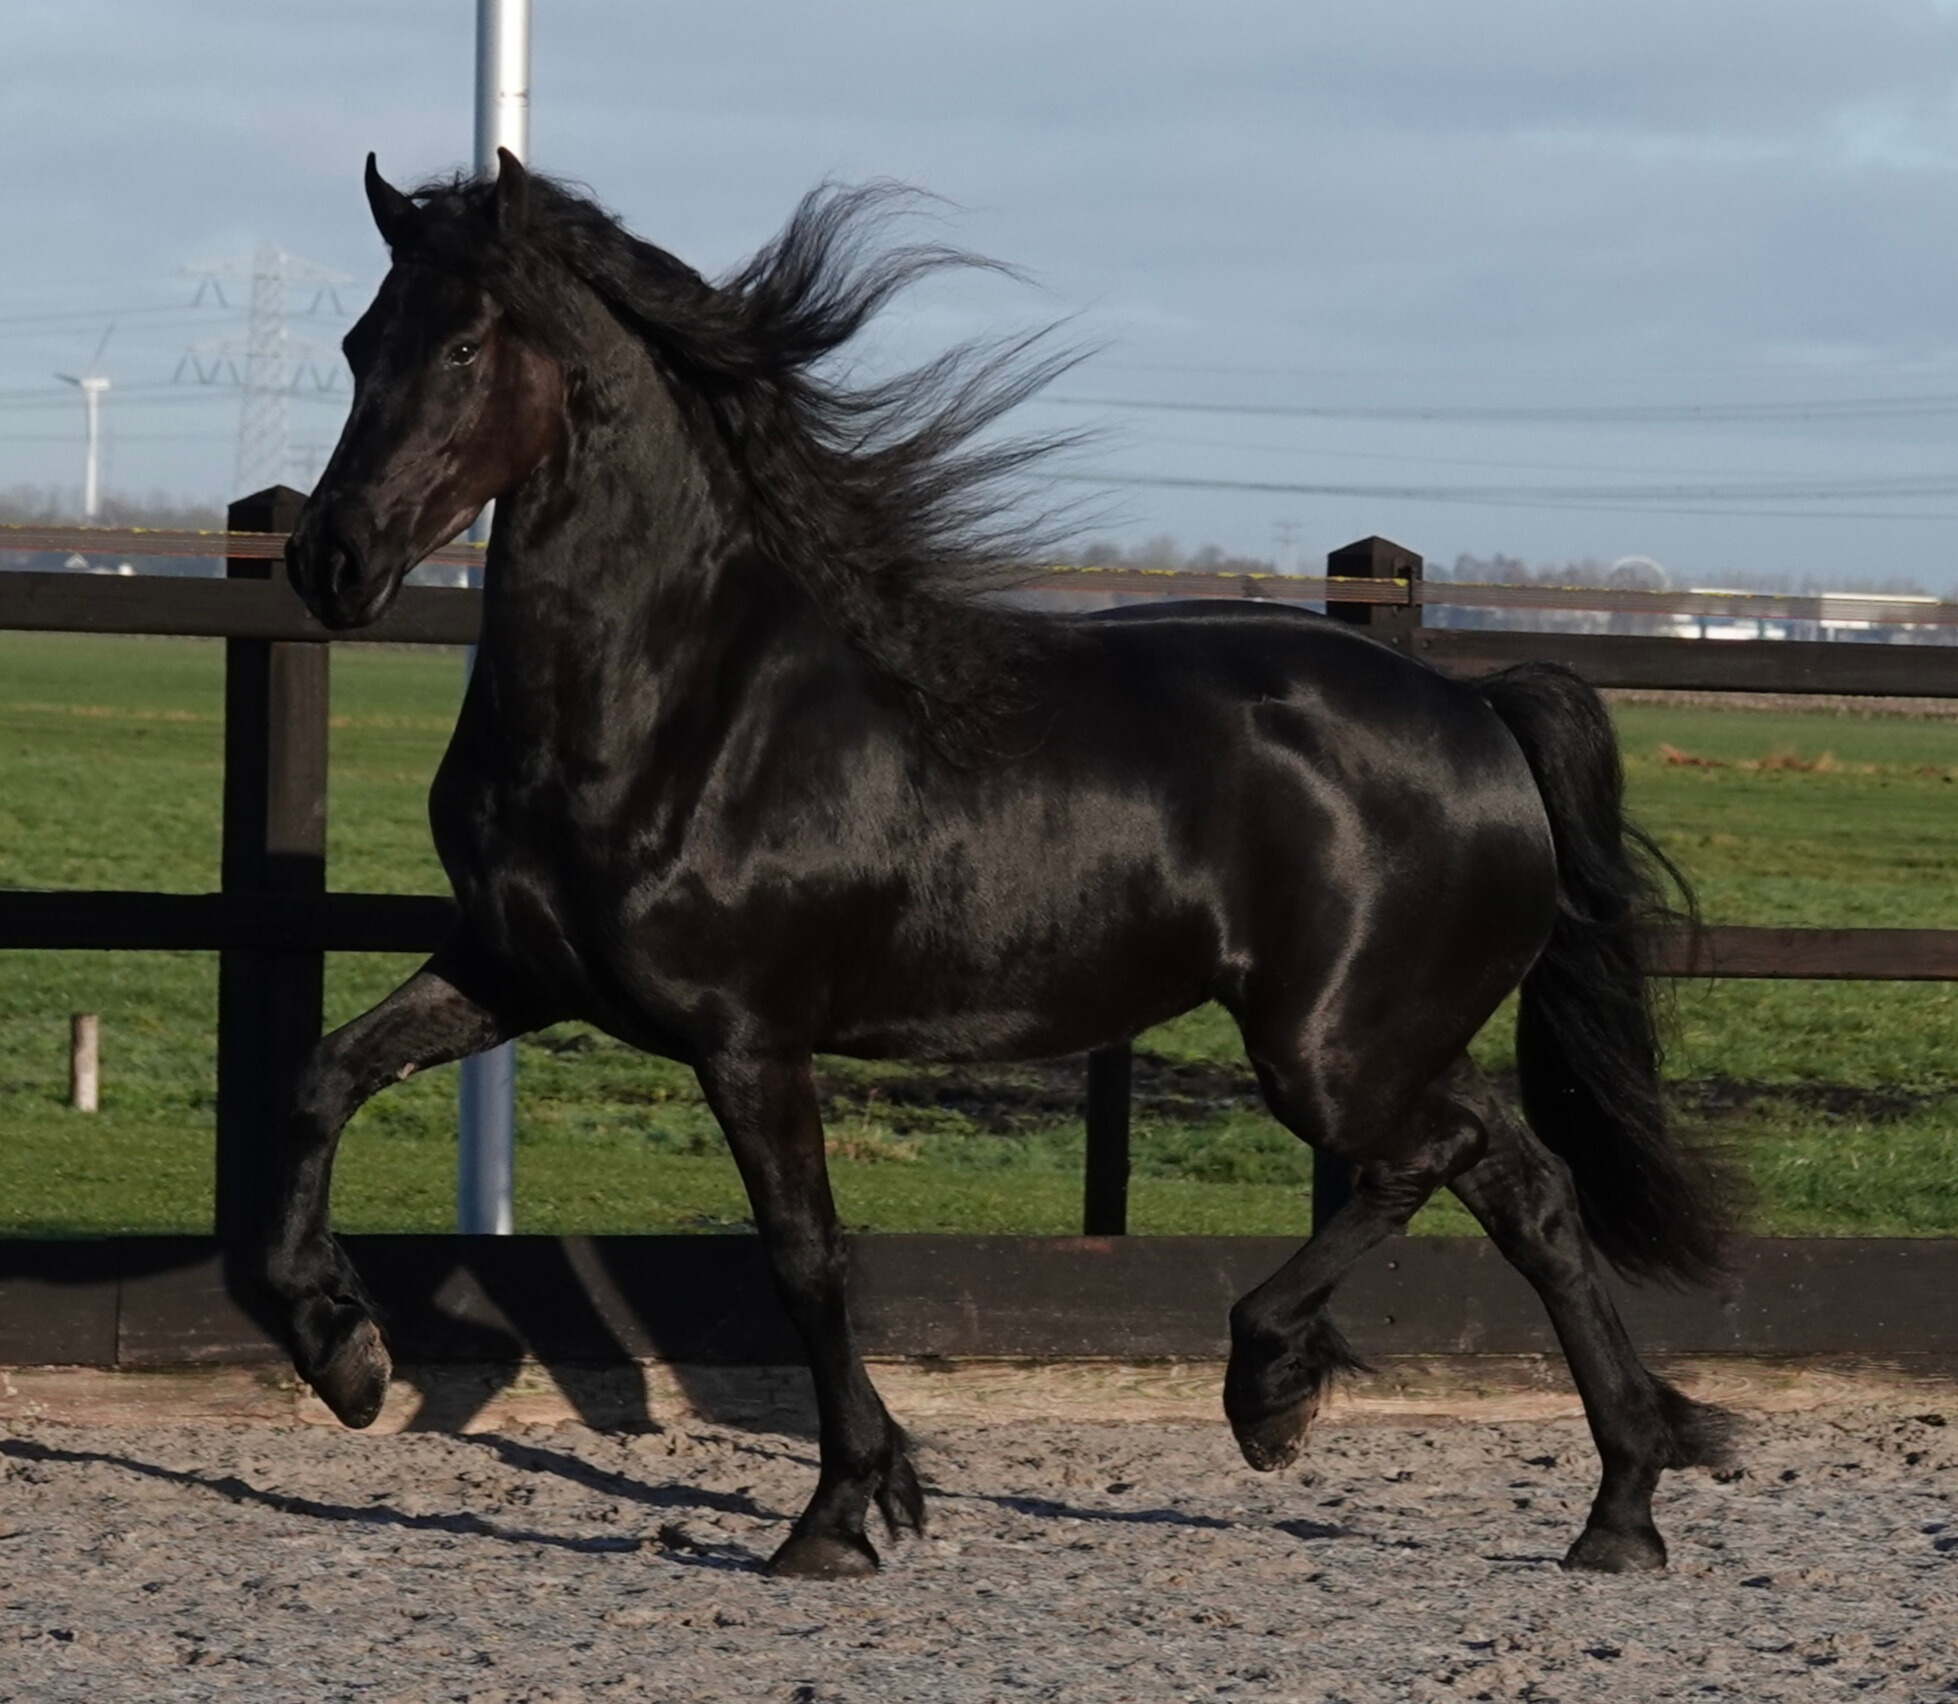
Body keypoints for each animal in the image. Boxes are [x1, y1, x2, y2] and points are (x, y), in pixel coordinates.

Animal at [277, 148, 1734, 1579]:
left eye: (463, 344)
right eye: (355, 343)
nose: (328, 562)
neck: (680, 705)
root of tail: (1477, 708)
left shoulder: (747, 1038)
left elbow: (804, 1259)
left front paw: (838, 1515)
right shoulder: (513, 969)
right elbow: (324, 1079)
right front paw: (340, 1355)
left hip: (1329, 1050)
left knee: (1432, 1160)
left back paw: (1275, 1391)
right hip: (1388, 1037)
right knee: (1527, 1188)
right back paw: (1621, 1504)